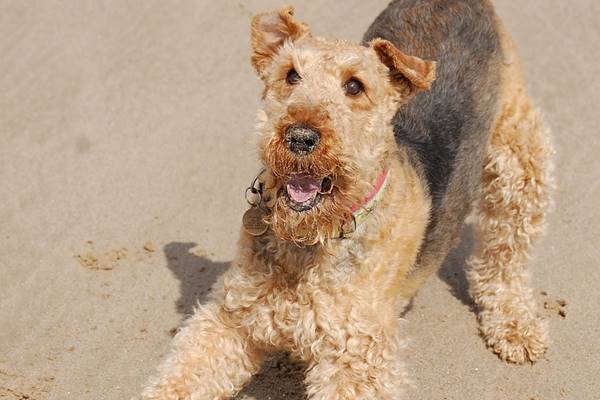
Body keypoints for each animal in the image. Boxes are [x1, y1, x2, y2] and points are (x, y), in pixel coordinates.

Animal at [141, 1, 552, 398]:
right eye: (290, 75)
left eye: (354, 86)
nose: (299, 137)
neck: (312, 239)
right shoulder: (230, 319)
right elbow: (182, 376)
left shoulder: (355, 357)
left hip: (519, 156)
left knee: (506, 255)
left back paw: (516, 329)